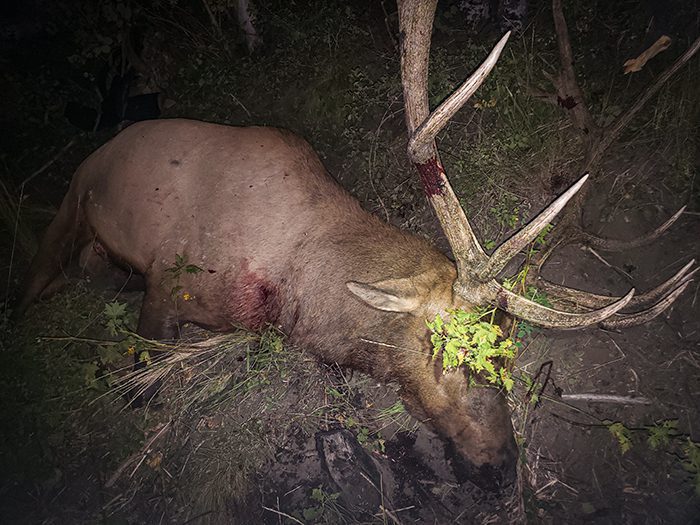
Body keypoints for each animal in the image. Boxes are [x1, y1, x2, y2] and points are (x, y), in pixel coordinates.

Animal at [16, 0, 694, 490]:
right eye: (449, 349)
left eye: (510, 355)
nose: (503, 472)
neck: (293, 292)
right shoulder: (164, 283)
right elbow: (144, 379)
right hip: (73, 199)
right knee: (37, 275)